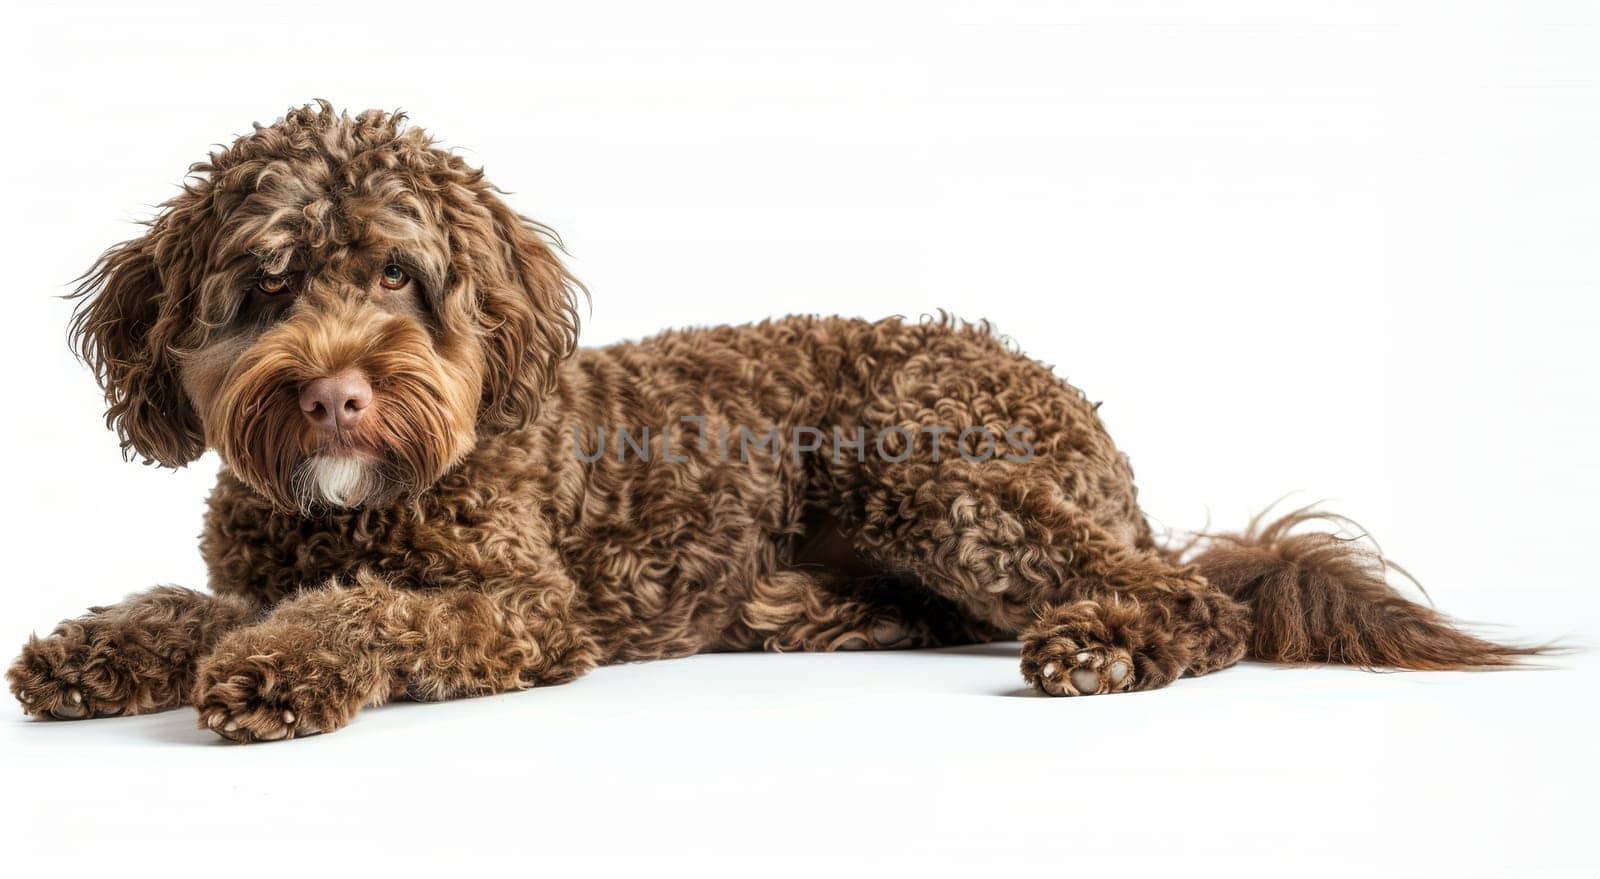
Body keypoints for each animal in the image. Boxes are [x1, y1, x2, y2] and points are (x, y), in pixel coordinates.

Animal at [6, 104, 1542, 739]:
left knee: (1177, 601)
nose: (334, 391)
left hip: (924, 456)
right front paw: (95, 651)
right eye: (266, 283)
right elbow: (188, 604)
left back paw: (1103, 640)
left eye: (396, 273)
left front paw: (277, 670)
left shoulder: (522, 606)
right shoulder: (257, 564)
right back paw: (802, 608)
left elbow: (367, 613)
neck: (356, 505)